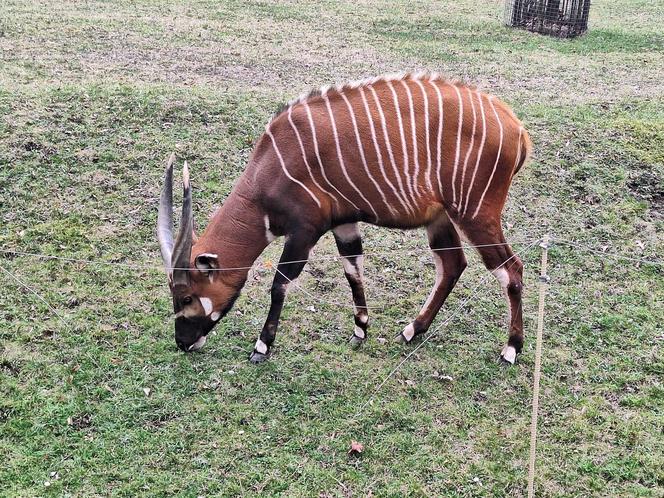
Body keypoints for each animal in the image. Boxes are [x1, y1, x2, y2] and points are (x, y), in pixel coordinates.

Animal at [154, 72, 528, 364]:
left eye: (186, 297)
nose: (182, 342)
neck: (274, 164)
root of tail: (518, 129)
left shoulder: (305, 230)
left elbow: (280, 284)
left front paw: (262, 346)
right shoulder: (343, 223)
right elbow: (353, 271)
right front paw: (360, 329)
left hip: (476, 214)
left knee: (510, 269)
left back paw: (511, 349)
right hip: (441, 218)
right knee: (452, 265)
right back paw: (411, 330)